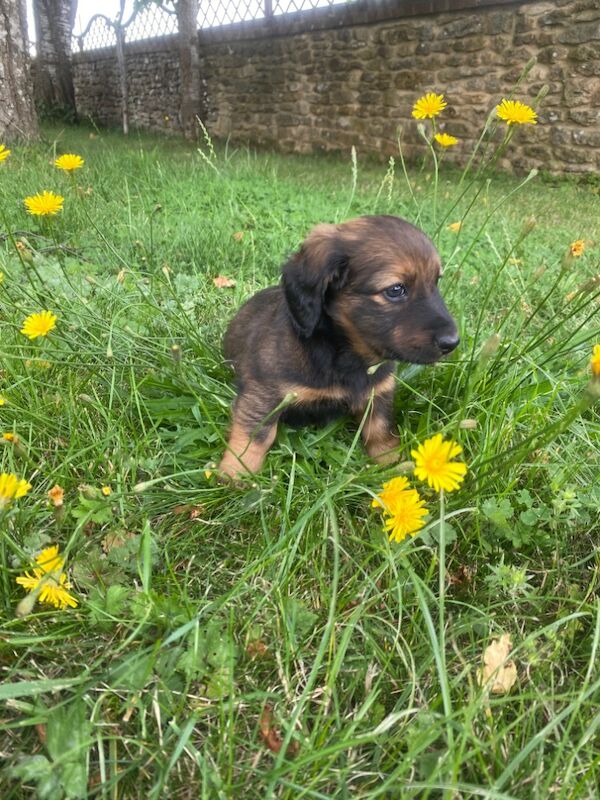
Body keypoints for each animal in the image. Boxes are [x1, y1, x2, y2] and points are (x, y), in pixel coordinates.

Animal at [220, 212, 460, 478]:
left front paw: (391, 464)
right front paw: (236, 471)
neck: (347, 356)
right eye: (396, 290)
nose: (452, 342)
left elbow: (379, 429)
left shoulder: (379, 391)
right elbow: (257, 433)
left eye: (436, 282)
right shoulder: (263, 392)